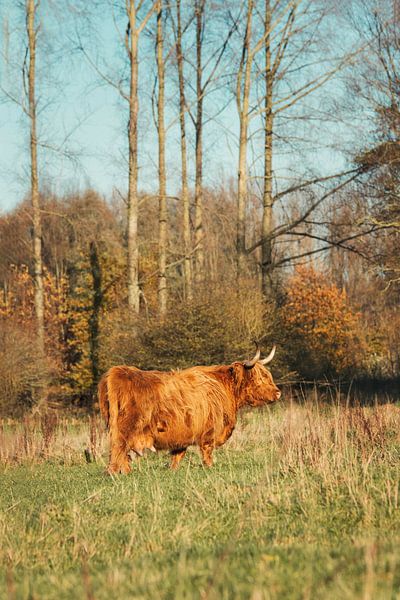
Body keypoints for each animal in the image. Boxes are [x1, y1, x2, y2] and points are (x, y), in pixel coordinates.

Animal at [99, 346, 282, 474]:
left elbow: (177, 455)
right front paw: (209, 467)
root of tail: (117, 371)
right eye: (260, 377)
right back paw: (115, 473)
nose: (278, 392)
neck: (225, 387)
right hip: (126, 427)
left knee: (124, 453)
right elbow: (207, 452)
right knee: (119, 447)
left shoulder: (183, 435)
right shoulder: (209, 431)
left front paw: (172, 470)